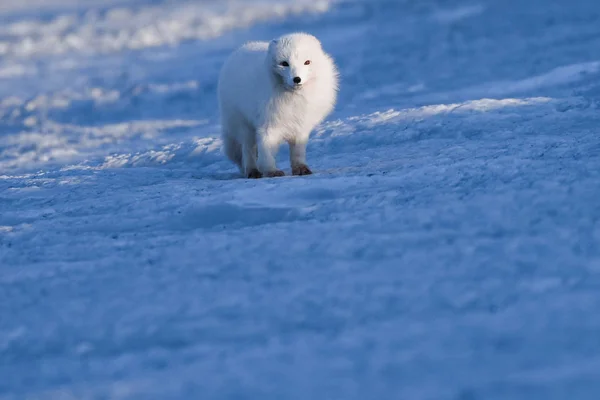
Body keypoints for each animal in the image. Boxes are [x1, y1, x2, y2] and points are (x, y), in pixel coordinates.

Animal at [217, 32, 338, 178]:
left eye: (307, 62)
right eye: (284, 63)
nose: (297, 79)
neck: (293, 101)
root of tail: (236, 52)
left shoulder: (301, 126)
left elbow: (297, 152)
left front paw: (301, 168)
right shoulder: (268, 123)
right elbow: (266, 149)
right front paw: (271, 171)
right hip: (243, 125)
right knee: (248, 150)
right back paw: (252, 171)